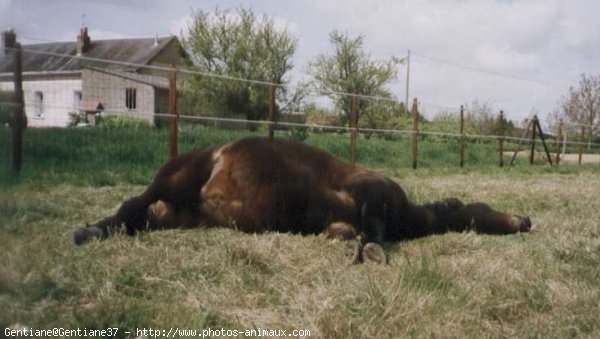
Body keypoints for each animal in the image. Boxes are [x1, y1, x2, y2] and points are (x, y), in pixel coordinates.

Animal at [74, 137, 528, 264]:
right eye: (487, 210)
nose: (524, 220)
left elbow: (348, 231)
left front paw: (357, 246)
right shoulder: (370, 190)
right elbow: (371, 230)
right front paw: (370, 250)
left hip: (179, 214)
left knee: (139, 217)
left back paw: (96, 230)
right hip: (178, 172)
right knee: (133, 204)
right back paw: (89, 231)